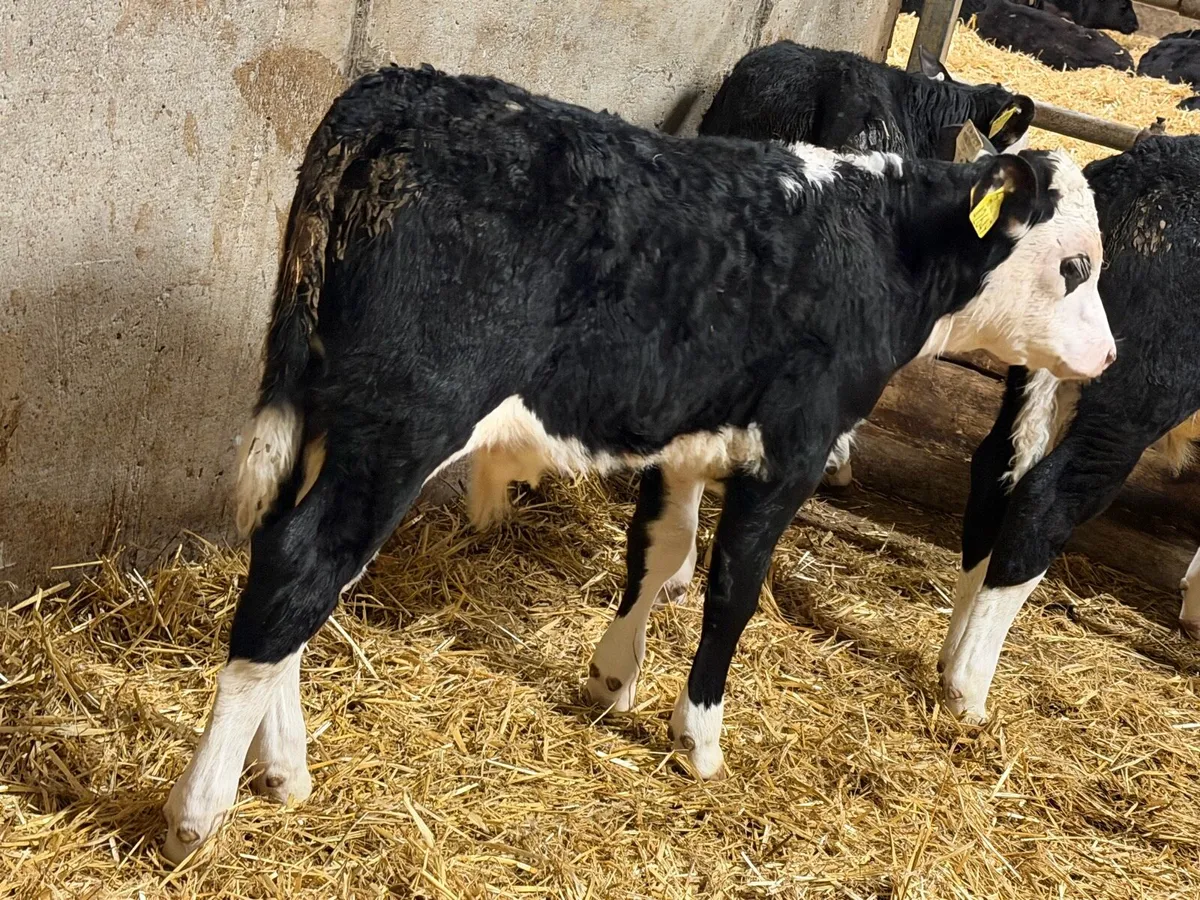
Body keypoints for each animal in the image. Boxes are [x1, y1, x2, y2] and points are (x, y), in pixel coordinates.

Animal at [161, 64, 1111, 862]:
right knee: (302, 568)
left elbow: (660, 553)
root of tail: (403, 91)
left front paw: (614, 676)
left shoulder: (688, 431)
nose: (1107, 357)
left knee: (285, 559)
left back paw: (284, 769)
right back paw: (198, 812)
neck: (881, 246)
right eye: (1075, 265)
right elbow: (732, 586)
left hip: (326, 410)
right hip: (400, 425)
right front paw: (699, 736)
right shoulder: (793, 446)